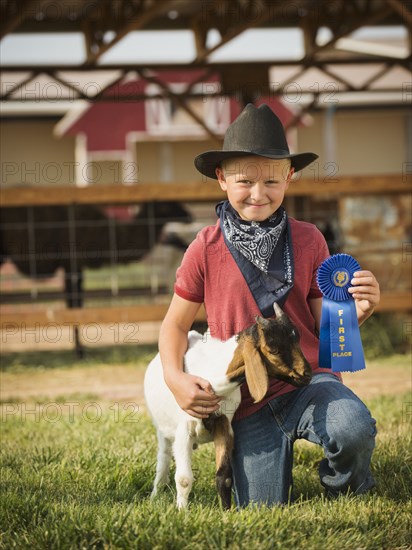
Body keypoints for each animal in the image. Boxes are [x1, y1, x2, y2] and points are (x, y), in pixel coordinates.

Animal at [143, 304, 310, 512]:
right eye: (274, 350)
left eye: (297, 339)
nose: (307, 374)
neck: (212, 378)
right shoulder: (184, 428)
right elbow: (183, 478)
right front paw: (182, 511)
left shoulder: (224, 423)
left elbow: (224, 477)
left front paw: (226, 511)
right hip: (163, 431)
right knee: (163, 458)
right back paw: (155, 495)